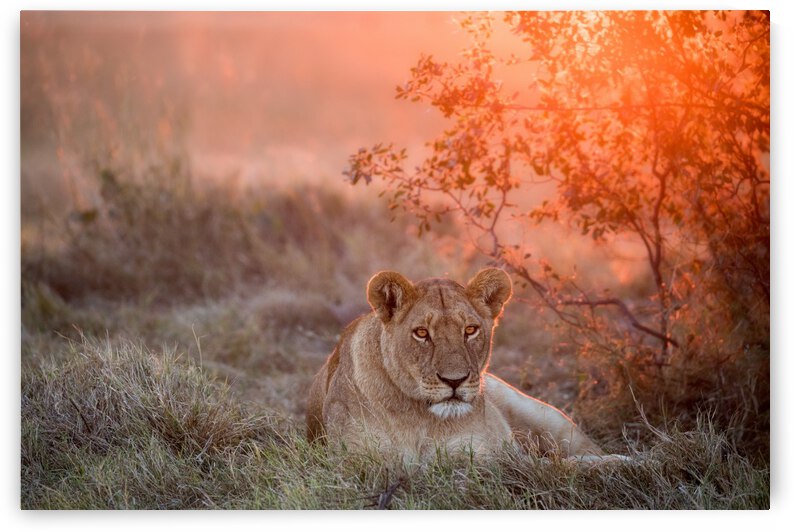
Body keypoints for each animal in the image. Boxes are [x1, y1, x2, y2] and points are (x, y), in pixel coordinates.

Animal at [306, 268, 608, 462]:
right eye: (422, 333)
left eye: (470, 330)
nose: (455, 380)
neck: (421, 419)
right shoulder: (358, 462)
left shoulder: (492, 456)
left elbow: (558, 467)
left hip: (544, 416)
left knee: (587, 452)